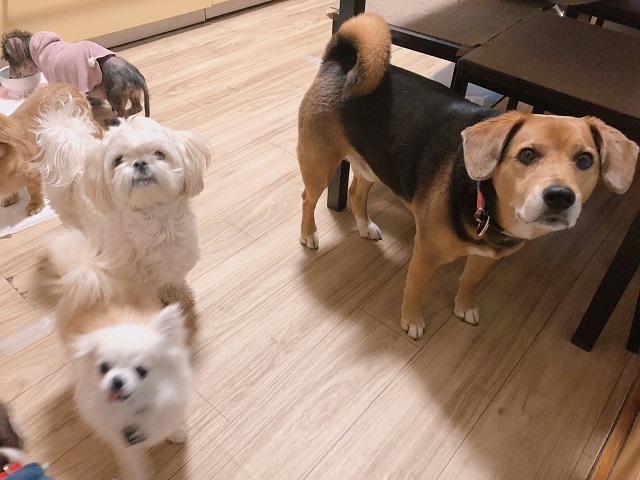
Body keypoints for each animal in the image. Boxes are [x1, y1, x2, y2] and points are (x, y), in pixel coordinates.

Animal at [2, 30, 150, 118]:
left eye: (9, 61)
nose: (10, 76)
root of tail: (136, 77)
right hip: (133, 93)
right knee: (136, 108)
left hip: (115, 96)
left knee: (122, 114)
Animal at [35, 98, 211, 307]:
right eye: (118, 160)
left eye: (159, 154)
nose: (140, 163)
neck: (152, 221)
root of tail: (71, 138)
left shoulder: (176, 257)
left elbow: (172, 279)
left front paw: (179, 294)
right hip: (69, 215)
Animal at [43, 228, 193, 480]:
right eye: (103, 368)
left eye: (142, 371)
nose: (116, 381)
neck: (135, 407)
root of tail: (88, 271)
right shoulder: (121, 440)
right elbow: (133, 462)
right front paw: (140, 473)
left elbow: (169, 422)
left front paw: (176, 432)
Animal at [297, 13, 639, 340]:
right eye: (526, 155)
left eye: (585, 160)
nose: (560, 196)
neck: (486, 203)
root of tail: (338, 62)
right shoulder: (425, 255)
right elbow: (414, 289)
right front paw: (412, 321)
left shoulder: (486, 258)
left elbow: (469, 281)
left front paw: (463, 306)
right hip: (319, 165)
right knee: (307, 199)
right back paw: (309, 235)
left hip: (373, 163)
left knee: (357, 193)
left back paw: (364, 226)